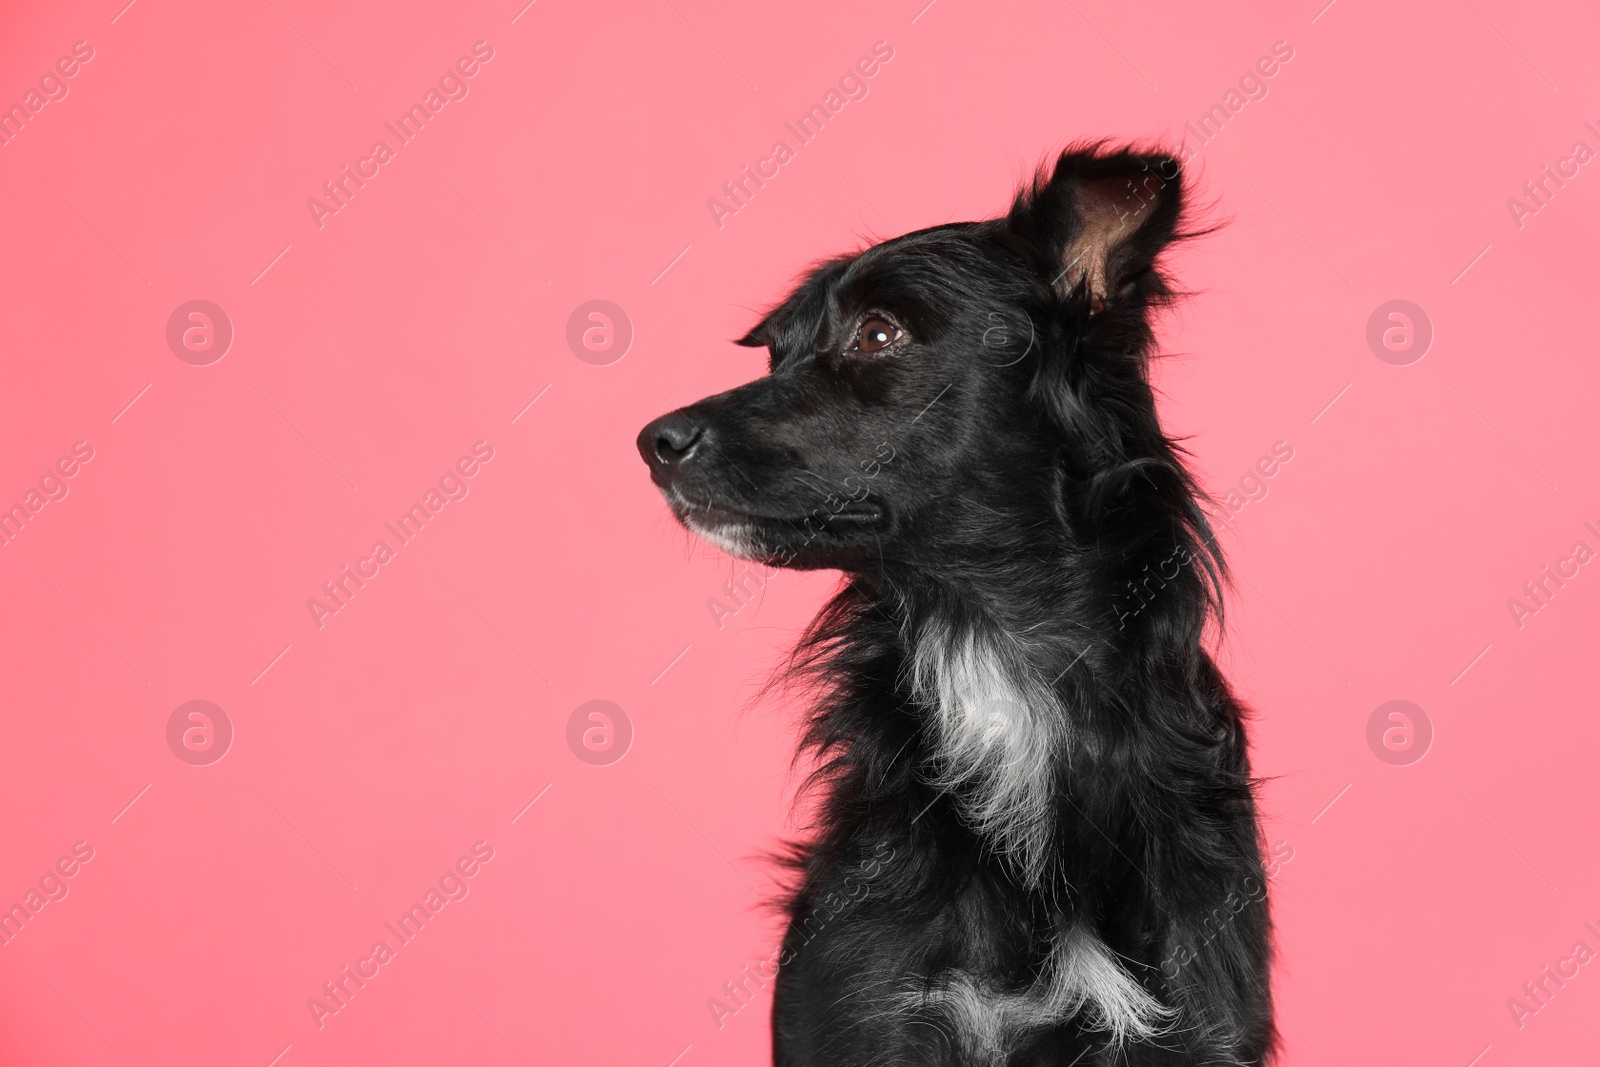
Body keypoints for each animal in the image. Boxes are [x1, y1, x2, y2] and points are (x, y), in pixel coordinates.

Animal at [636, 143, 1273, 1067]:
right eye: (776, 355)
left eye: (877, 333)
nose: (654, 440)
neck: (990, 641)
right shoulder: (863, 1008)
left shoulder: (1195, 1022)